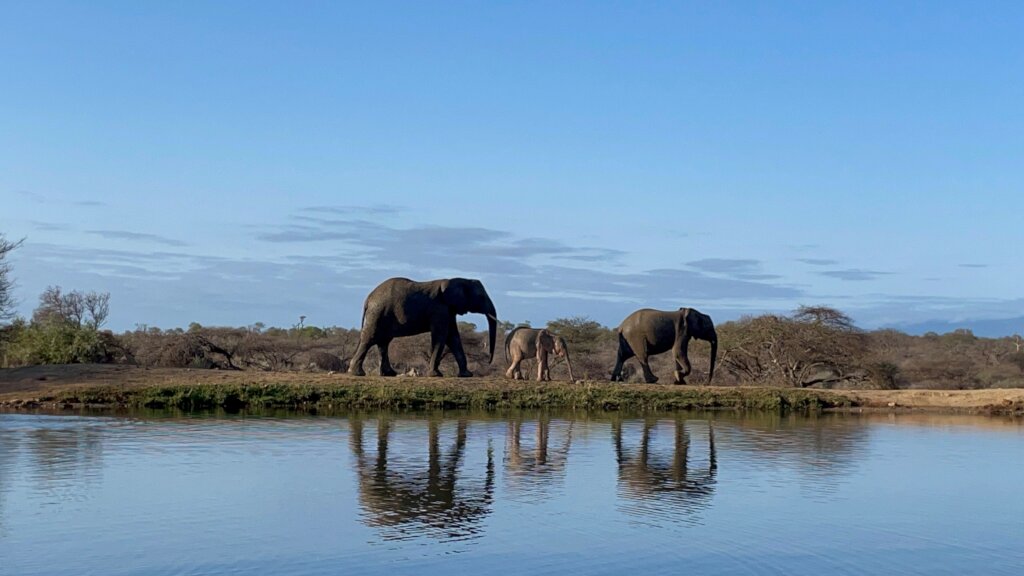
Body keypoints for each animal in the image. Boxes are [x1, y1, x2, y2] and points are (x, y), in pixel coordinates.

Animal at [347, 277, 498, 378]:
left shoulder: (448, 310)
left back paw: (389, 374)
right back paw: (356, 373)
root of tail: (368, 299)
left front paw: (466, 375)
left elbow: (453, 338)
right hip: (377, 313)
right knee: (370, 339)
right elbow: (441, 336)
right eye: (481, 296)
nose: (489, 361)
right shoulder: (439, 309)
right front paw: (436, 375)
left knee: (383, 342)